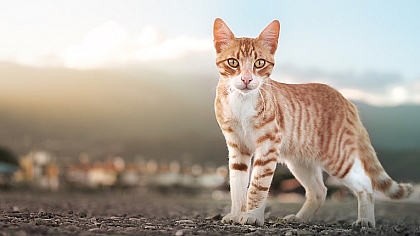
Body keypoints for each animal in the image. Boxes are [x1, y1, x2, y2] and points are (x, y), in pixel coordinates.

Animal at [213, 17, 414, 228]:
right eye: (233, 62)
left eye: (259, 63)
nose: (246, 79)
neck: (242, 102)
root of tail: (347, 100)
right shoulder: (237, 147)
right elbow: (237, 186)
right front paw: (236, 215)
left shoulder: (268, 145)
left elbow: (258, 185)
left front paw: (252, 216)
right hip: (301, 161)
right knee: (319, 191)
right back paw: (300, 218)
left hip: (338, 158)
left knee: (366, 184)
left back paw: (366, 220)